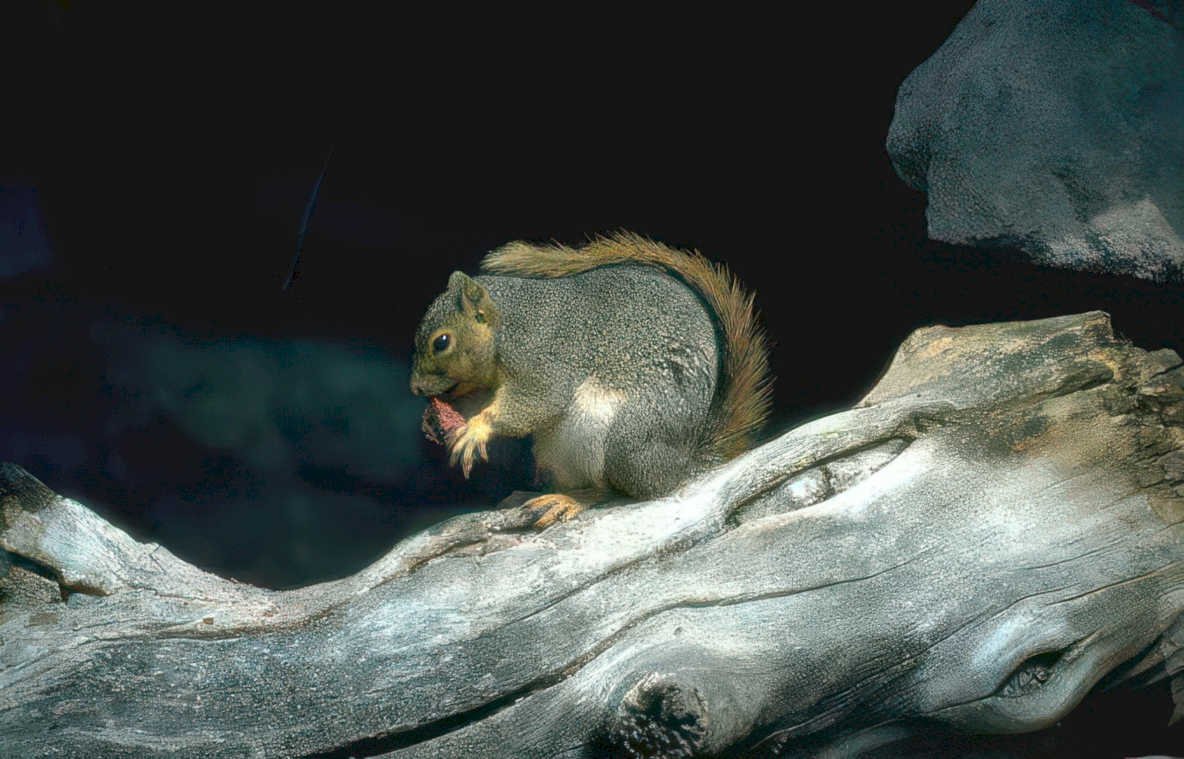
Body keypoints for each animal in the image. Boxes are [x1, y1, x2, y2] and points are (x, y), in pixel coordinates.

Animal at [410, 231, 772, 528]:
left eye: (441, 342)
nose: (414, 388)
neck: (509, 324)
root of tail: (685, 464)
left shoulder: (546, 359)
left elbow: (539, 400)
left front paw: (477, 430)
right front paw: (435, 419)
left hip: (621, 440)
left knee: (622, 491)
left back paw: (572, 499)